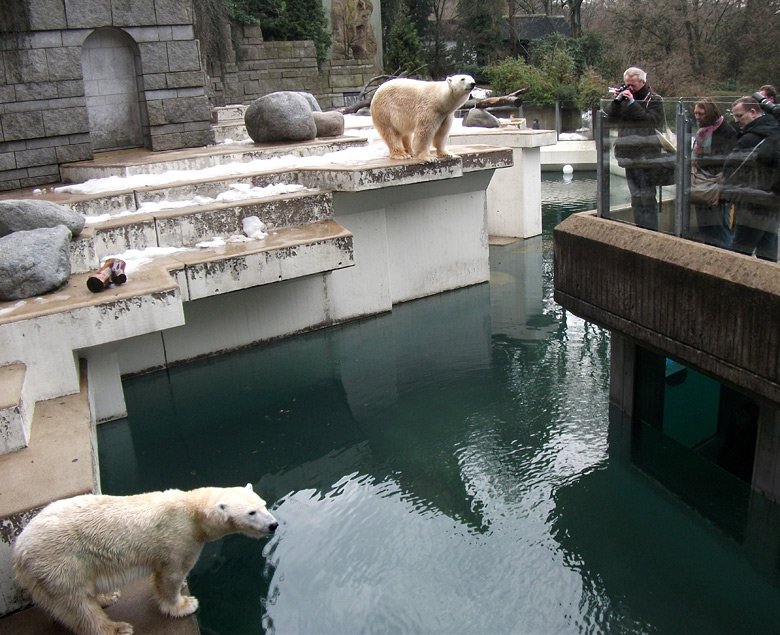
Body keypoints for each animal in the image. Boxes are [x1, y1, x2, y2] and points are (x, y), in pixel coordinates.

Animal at [12, 484, 278, 632]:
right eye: (251, 512)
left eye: (263, 504)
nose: (273, 525)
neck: (192, 512)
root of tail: (19, 550)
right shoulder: (177, 539)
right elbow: (169, 576)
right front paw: (184, 604)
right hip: (59, 560)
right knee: (77, 603)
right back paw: (115, 628)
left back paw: (108, 596)